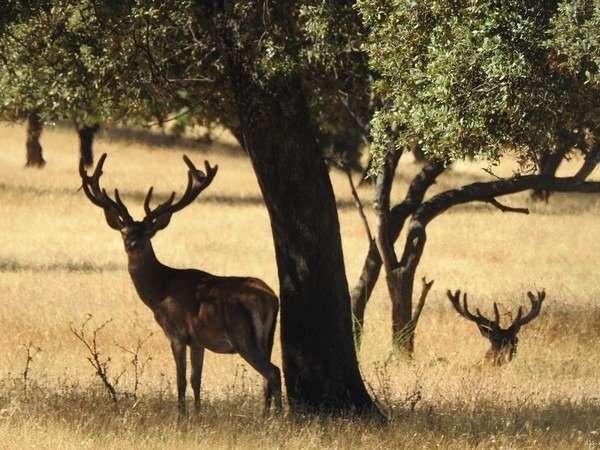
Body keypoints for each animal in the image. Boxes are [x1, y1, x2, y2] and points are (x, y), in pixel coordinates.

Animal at [79, 154, 282, 414]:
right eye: (124, 232)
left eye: (148, 233)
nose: (133, 244)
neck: (160, 291)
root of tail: (270, 298)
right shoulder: (198, 340)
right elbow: (196, 380)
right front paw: (197, 414)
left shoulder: (176, 332)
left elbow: (181, 380)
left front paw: (181, 415)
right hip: (267, 337)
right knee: (269, 374)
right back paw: (267, 415)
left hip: (241, 335)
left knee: (272, 371)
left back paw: (278, 416)